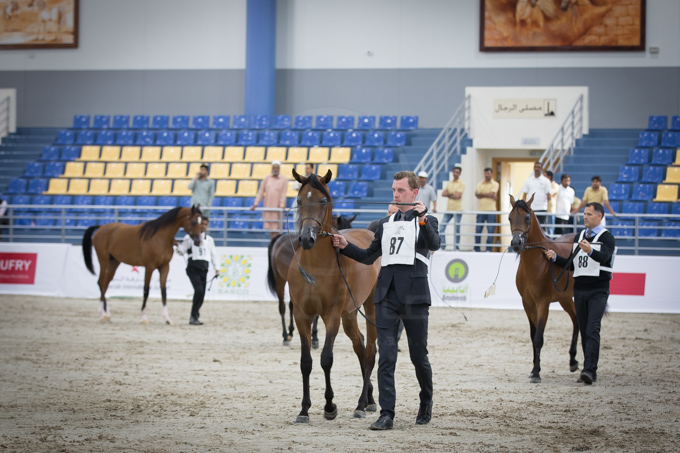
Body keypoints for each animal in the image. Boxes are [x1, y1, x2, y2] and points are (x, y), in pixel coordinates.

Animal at [266, 214, 357, 348]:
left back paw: (291, 332)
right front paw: (313, 338)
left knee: (291, 306)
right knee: (282, 307)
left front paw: (314, 337)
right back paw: (285, 336)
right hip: (279, 279)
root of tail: (279, 238)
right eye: (342, 229)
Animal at [288, 169, 380, 422]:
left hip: (370, 307)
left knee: (370, 350)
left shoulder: (331, 316)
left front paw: (330, 406)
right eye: (299, 200)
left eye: (322, 201)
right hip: (350, 314)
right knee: (360, 345)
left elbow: (326, 359)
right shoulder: (302, 316)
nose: (307, 238)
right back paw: (369, 399)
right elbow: (306, 362)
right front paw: (304, 409)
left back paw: (361, 404)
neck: (316, 266)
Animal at [509, 194, 580, 383]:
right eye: (510, 217)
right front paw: (534, 369)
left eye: (527, 217)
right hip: (565, 299)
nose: (516, 243)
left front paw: (537, 374)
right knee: (576, 321)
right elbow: (533, 336)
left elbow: (539, 338)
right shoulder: (528, 304)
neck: (537, 263)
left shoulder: (543, 303)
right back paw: (572, 361)